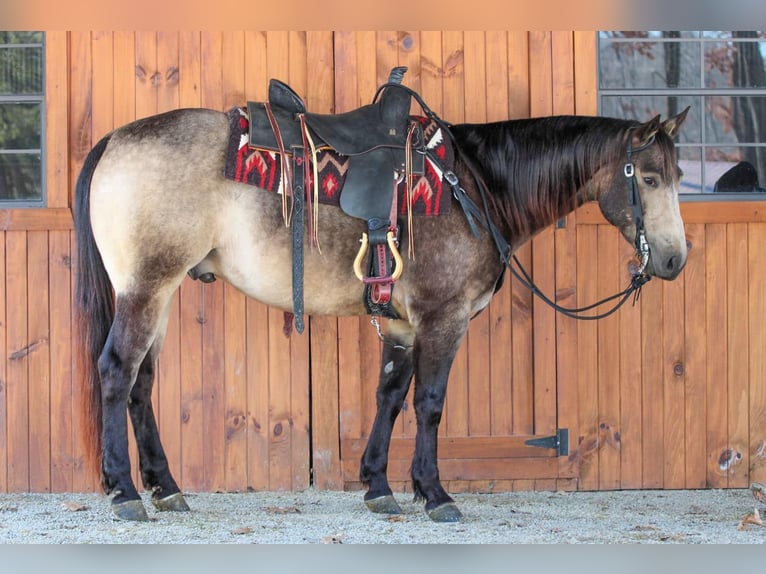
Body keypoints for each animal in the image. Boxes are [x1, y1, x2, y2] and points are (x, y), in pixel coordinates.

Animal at [75, 71, 692, 520]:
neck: (476, 185)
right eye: (650, 178)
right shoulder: (444, 319)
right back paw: (125, 492)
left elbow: (390, 397)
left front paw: (378, 485)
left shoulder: (400, 324)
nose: (673, 260)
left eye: (679, 175)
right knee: (117, 371)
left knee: (142, 383)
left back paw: (165, 487)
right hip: (146, 287)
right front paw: (435, 494)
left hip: (159, 292)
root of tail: (115, 139)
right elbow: (430, 404)